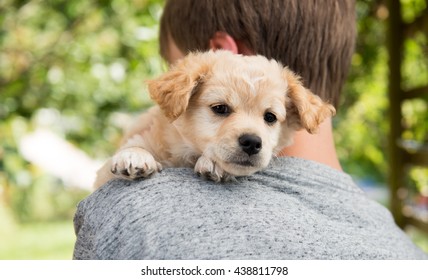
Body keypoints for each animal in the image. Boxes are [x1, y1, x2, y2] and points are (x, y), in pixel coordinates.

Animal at [93, 50, 334, 188]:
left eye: (270, 117)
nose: (252, 143)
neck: (187, 153)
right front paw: (133, 155)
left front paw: (215, 164)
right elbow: (136, 146)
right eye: (220, 108)